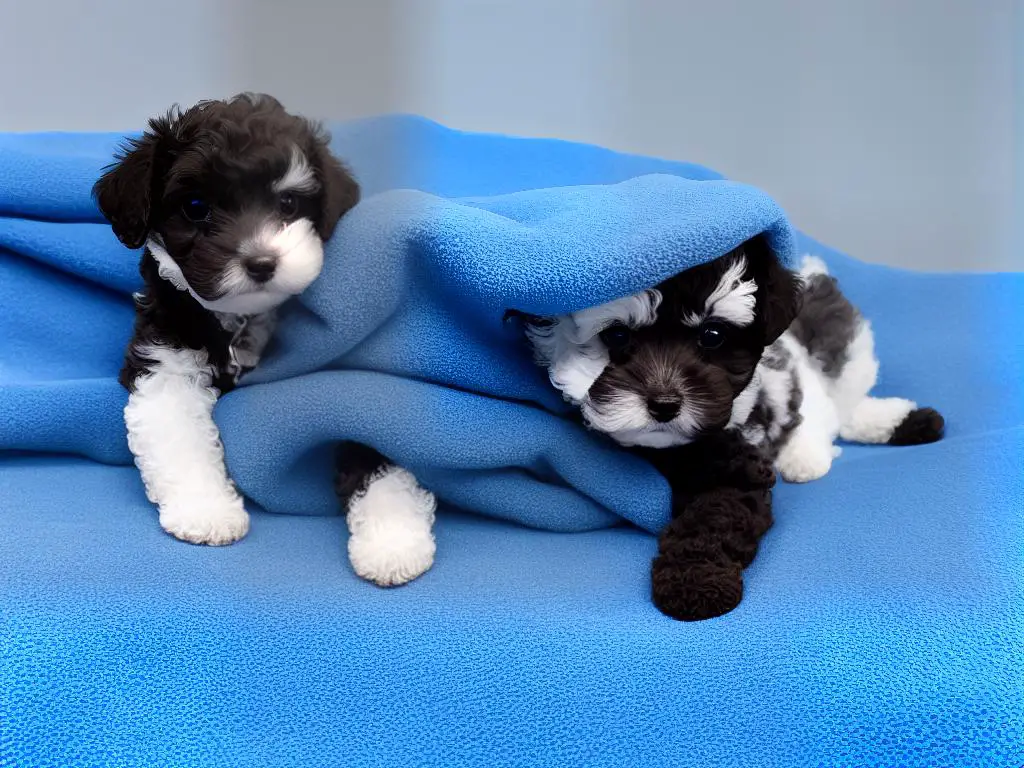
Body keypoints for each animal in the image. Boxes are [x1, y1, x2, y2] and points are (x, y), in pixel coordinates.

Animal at [92, 94, 436, 589]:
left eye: (288, 202)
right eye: (195, 206)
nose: (261, 262)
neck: (240, 319)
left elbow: (373, 446)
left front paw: (394, 538)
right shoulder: (165, 362)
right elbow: (180, 437)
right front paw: (207, 511)